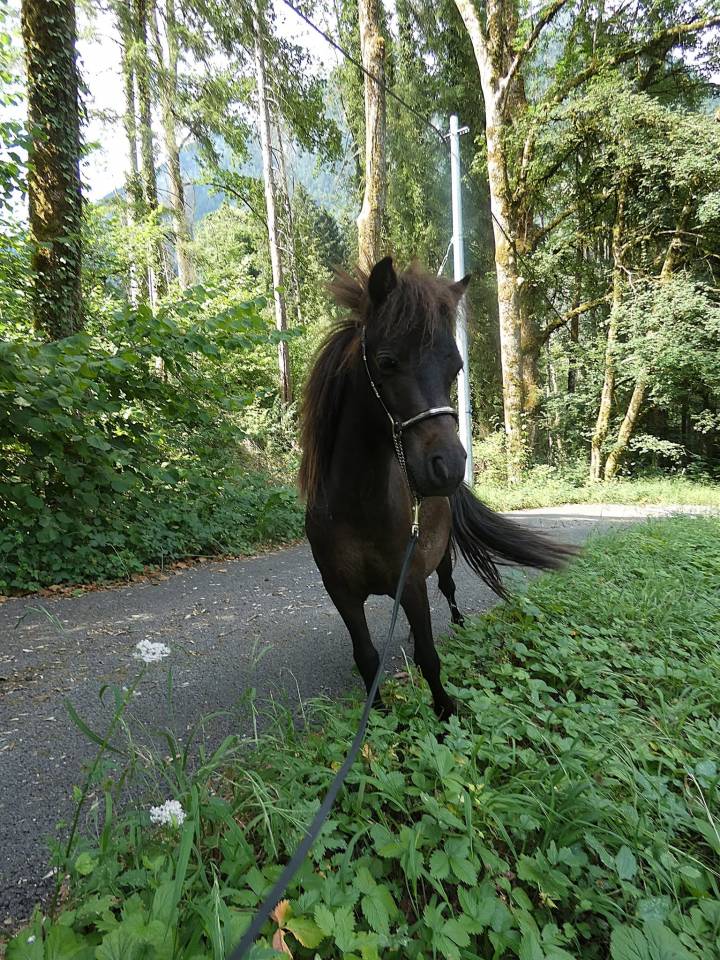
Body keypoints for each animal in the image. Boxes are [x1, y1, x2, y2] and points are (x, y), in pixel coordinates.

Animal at [298, 257, 573, 719]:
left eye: (455, 368)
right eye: (387, 361)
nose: (450, 467)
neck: (356, 507)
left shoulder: (411, 582)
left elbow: (429, 655)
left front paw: (445, 712)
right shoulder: (341, 593)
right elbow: (367, 657)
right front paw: (380, 715)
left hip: (440, 557)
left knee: (447, 588)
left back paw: (459, 626)